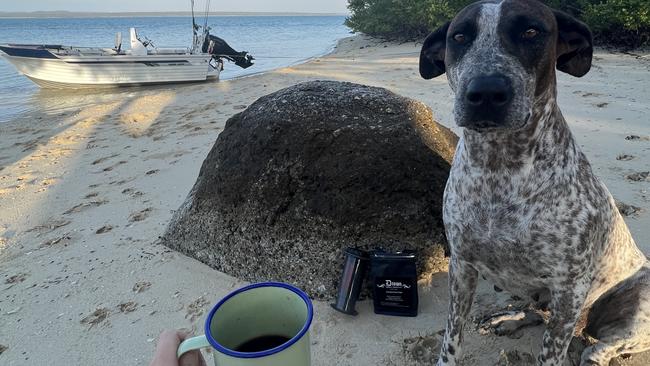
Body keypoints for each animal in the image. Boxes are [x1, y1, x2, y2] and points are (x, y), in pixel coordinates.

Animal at [418, 0, 648, 366]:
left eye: (531, 31)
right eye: (460, 37)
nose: (486, 92)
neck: (498, 171)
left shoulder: (569, 288)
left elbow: (551, 352)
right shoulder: (462, 267)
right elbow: (451, 339)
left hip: (634, 302)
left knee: (606, 343)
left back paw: (594, 353)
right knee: (537, 312)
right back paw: (511, 319)